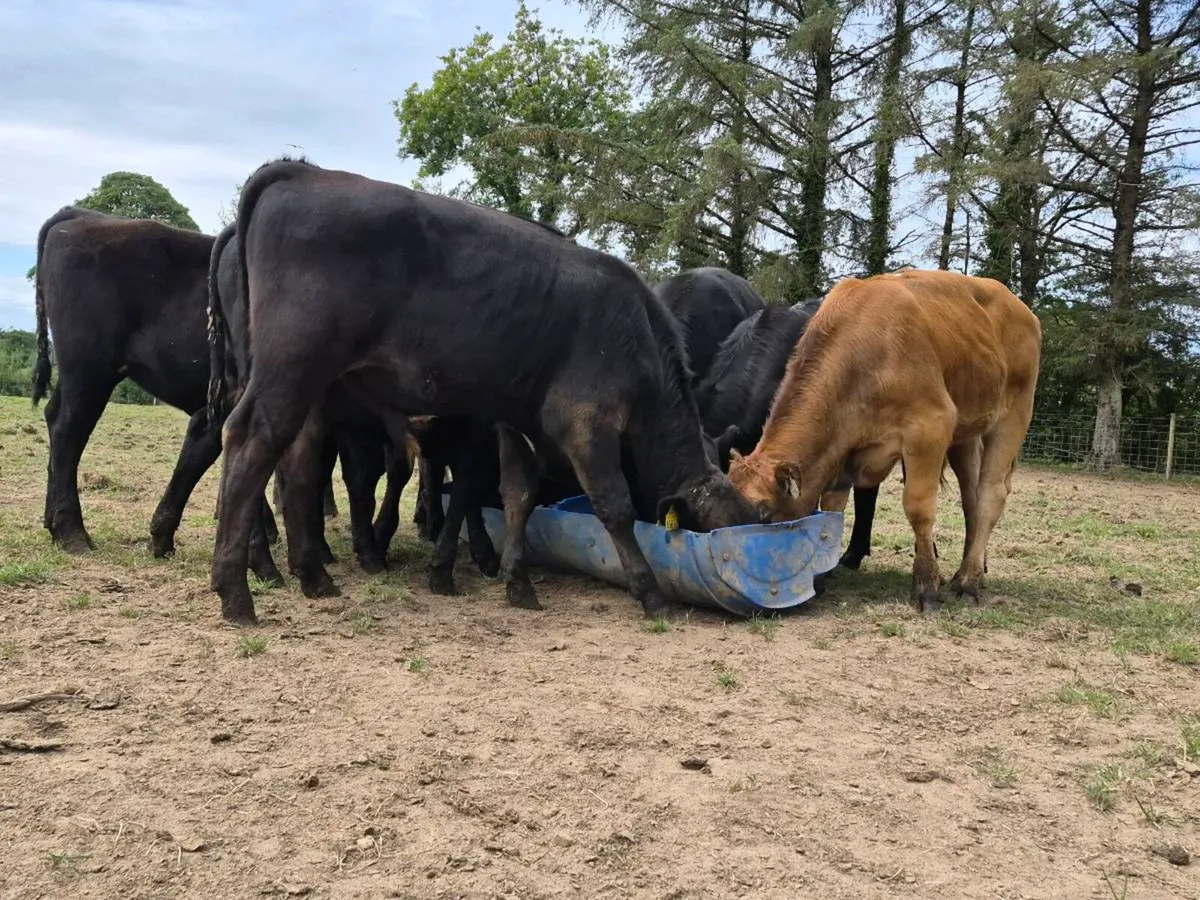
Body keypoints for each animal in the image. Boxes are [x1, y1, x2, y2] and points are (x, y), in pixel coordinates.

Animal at [29, 206, 286, 581]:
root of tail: (81, 215)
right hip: (89, 367)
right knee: (68, 429)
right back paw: (71, 532)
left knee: (53, 416)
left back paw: (53, 524)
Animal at [208, 158, 761, 625]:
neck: (637, 335)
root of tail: (301, 173)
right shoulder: (585, 420)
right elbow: (614, 506)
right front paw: (650, 593)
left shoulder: (517, 422)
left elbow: (518, 494)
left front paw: (518, 584)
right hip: (291, 368)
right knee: (251, 442)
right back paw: (236, 590)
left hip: (310, 387)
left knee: (296, 461)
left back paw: (311, 575)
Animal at [727, 269, 1041, 611]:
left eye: (764, 514)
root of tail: (1021, 308)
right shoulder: (842, 451)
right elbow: (833, 508)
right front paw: (822, 575)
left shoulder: (930, 426)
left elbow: (918, 508)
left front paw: (927, 585)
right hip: (966, 433)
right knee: (971, 496)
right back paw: (970, 570)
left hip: (1013, 414)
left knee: (990, 495)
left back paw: (969, 580)